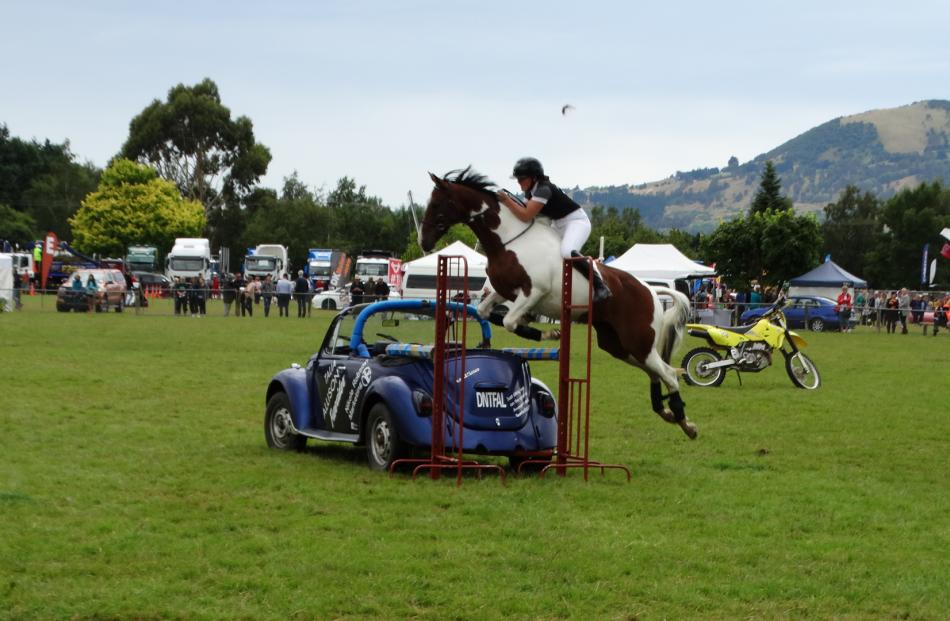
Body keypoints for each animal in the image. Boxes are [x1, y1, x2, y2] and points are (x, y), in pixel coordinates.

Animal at [422, 166, 700, 436]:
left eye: (437, 203)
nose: (423, 242)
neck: (508, 241)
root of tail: (651, 290)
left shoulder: (534, 291)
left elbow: (510, 321)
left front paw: (549, 334)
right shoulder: (504, 292)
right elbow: (485, 312)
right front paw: (542, 329)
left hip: (637, 343)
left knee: (668, 374)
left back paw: (686, 423)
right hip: (619, 346)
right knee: (655, 372)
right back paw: (669, 413)